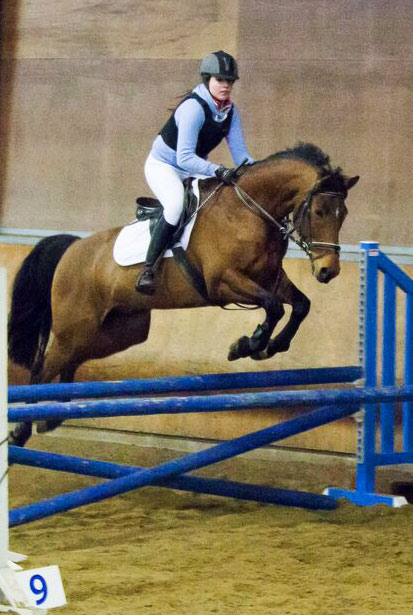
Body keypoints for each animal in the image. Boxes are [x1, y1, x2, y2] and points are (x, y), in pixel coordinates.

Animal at [8, 142, 359, 446]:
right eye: (319, 211)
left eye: (343, 214)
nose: (328, 271)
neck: (249, 211)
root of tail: (72, 247)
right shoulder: (224, 282)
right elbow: (273, 307)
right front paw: (248, 345)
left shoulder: (270, 279)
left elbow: (300, 305)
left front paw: (271, 346)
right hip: (74, 328)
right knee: (43, 369)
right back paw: (22, 429)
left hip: (118, 332)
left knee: (72, 361)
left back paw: (53, 415)